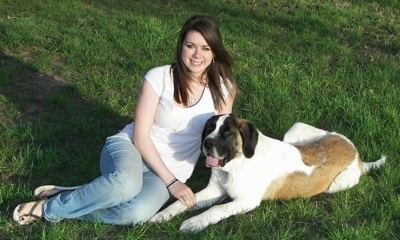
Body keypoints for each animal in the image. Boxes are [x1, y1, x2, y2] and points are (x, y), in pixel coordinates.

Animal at [149, 114, 384, 232]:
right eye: (209, 128)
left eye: (227, 132)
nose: (207, 143)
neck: (235, 165)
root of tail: (357, 154)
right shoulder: (214, 191)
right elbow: (182, 202)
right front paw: (162, 215)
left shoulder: (247, 200)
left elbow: (217, 209)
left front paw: (194, 223)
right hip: (295, 130)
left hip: (336, 185)